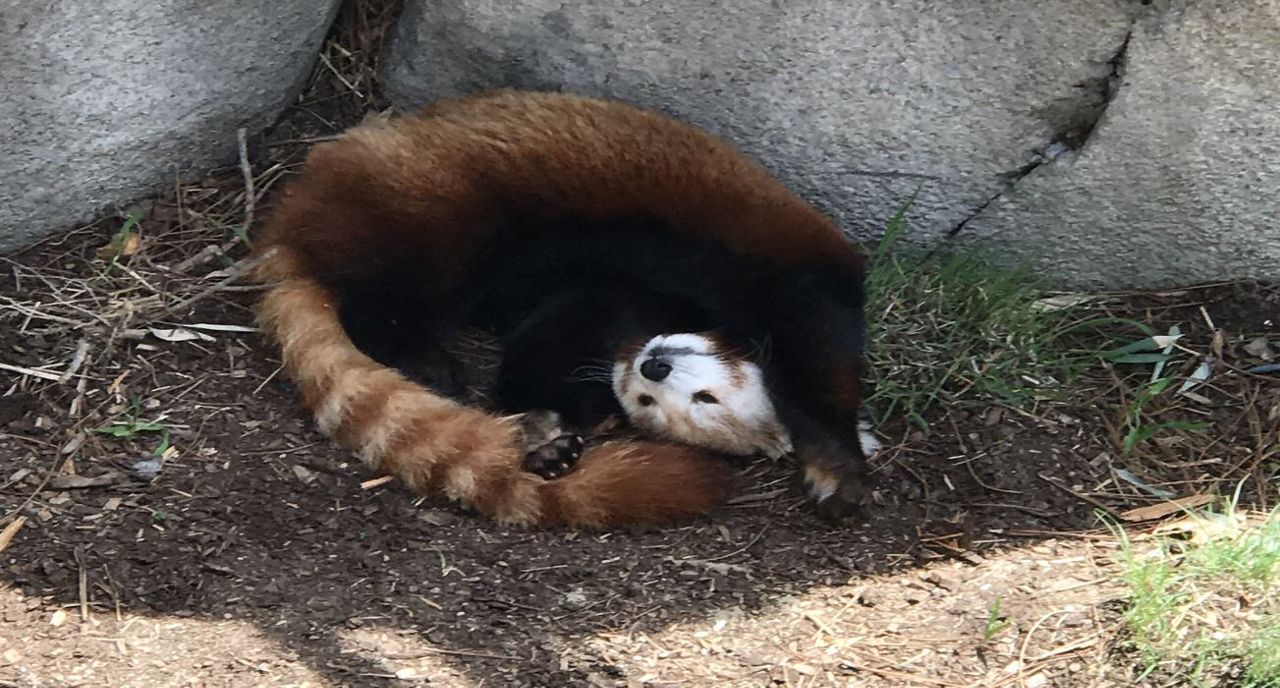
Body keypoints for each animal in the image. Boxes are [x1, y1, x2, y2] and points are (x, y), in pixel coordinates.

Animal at [249, 89, 870, 524]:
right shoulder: (788, 275)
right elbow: (820, 361)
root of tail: (290, 223)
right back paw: (427, 357)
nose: (653, 366)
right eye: (706, 395)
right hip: (429, 203)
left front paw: (552, 434)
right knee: (387, 291)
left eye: (658, 404)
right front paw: (840, 467)